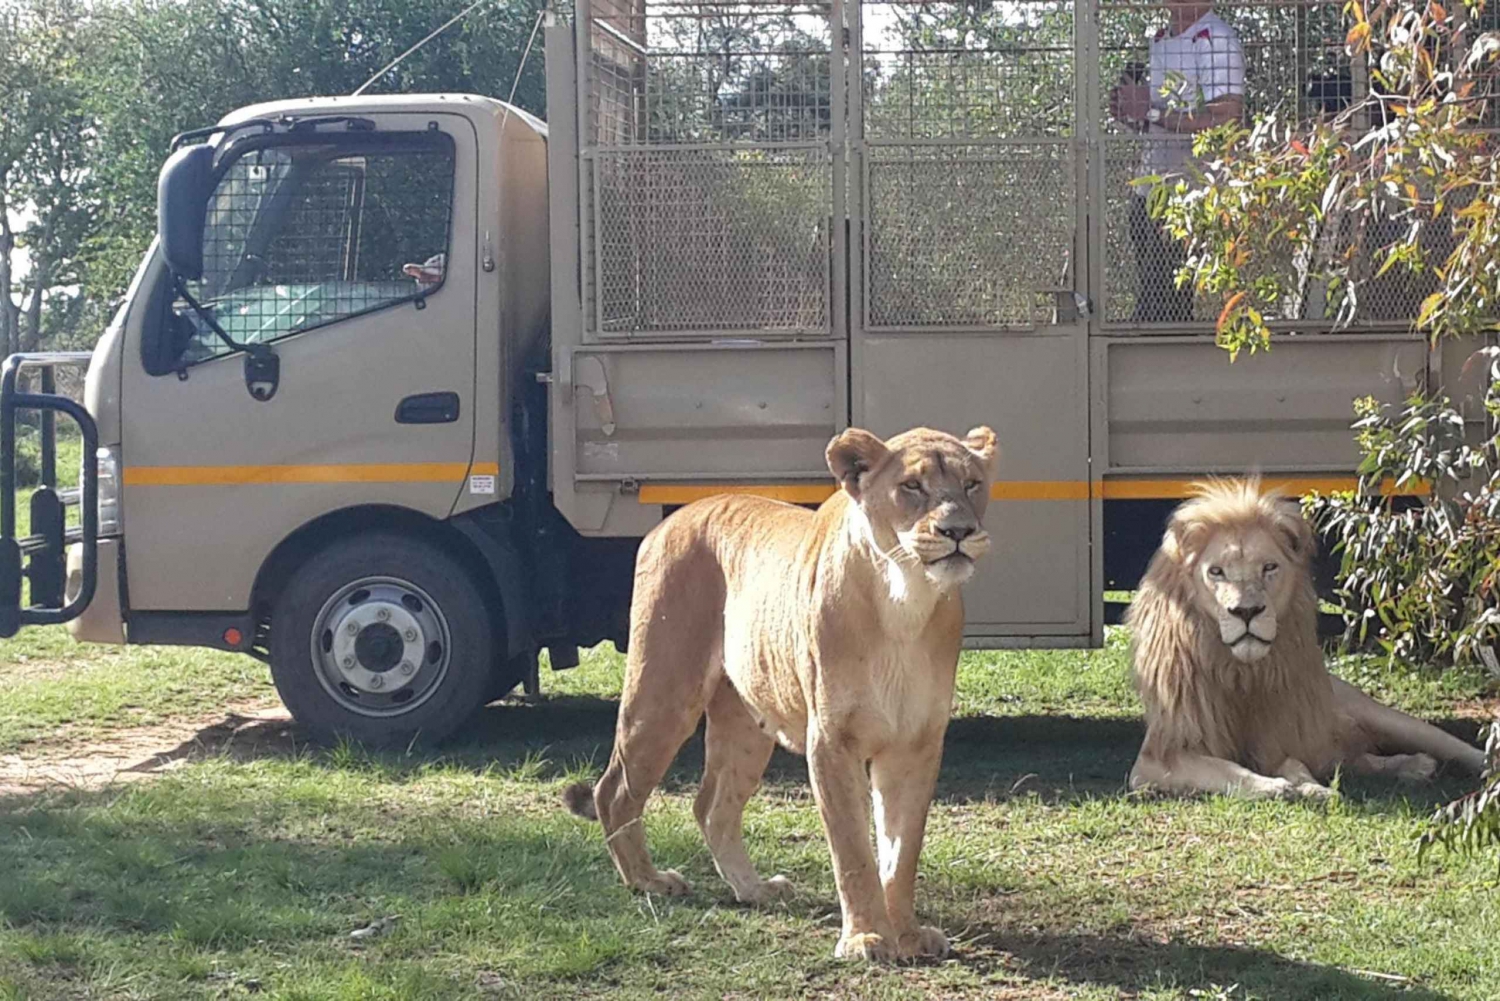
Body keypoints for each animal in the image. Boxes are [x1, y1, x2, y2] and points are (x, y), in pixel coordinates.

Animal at [562, 425, 1000, 962]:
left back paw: (753, 889)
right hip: (663, 690)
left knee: (711, 806)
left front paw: (907, 934)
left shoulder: (916, 743)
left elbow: (901, 849)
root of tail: (670, 522)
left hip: (745, 724)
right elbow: (853, 849)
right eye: (911, 487)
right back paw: (649, 881)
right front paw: (865, 937)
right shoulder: (831, 741)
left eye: (972, 483)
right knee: (615, 789)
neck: (905, 597)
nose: (957, 531)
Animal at [1126, 478, 1489, 800]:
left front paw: (1309, 788)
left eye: (1269, 567)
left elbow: (1293, 764)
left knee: (1453, 746)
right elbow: (1227, 769)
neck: (1241, 672)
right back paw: (1414, 767)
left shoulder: (1279, 737)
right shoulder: (1156, 759)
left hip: (1386, 718)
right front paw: (1282, 788)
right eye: (1216, 572)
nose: (1246, 611)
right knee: (1359, 759)